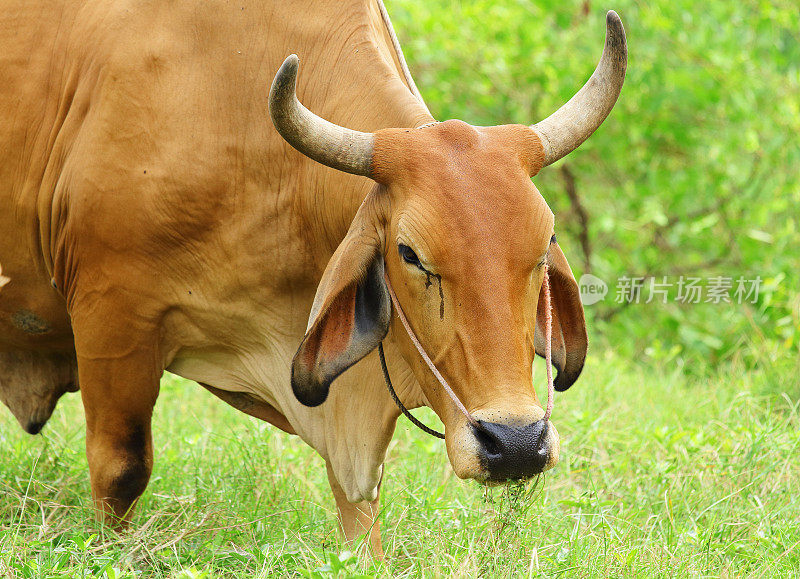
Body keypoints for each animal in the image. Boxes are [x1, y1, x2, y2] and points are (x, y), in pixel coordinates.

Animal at [0, 0, 624, 556]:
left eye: (542, 249)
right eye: (410, 254)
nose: (516, 443)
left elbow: (361, 512)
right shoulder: (113, 314)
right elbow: (121, 470)